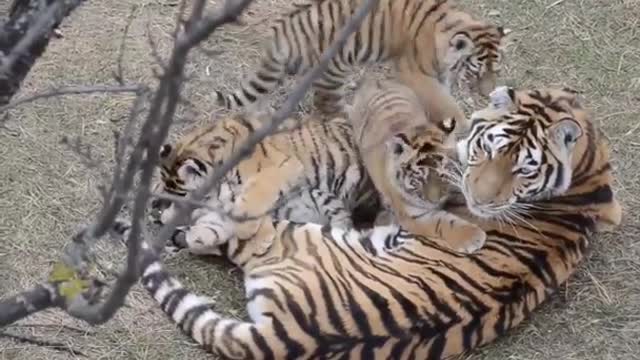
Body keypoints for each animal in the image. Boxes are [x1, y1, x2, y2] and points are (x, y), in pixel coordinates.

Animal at [212, 0, 512, 116]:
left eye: (495, 70)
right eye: (476, 71)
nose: (486, 93)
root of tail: (280, 30)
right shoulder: (414, 71)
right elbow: (446, 103)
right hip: (335, 69)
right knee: (327, 105)